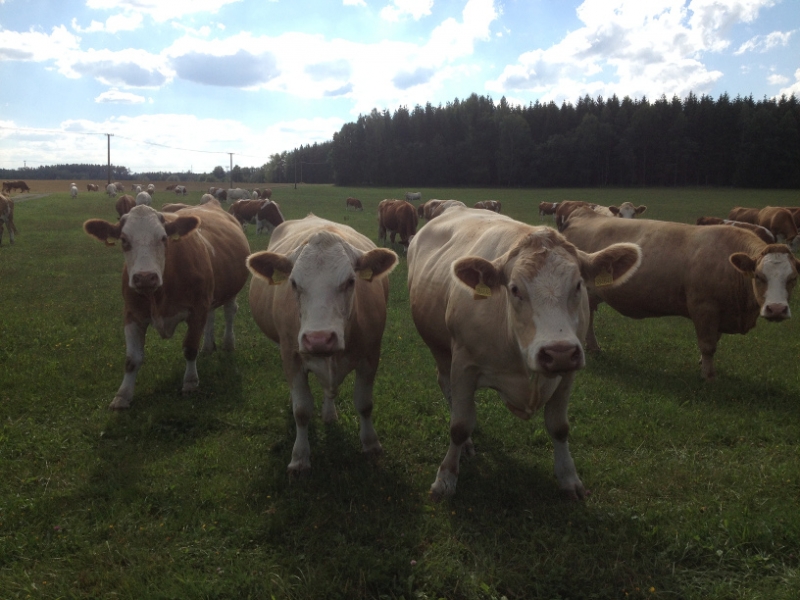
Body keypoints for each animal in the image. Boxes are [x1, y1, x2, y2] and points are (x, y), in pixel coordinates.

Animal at [83, 203, 251, 409]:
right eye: (124, 240)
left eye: (163, 238)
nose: (145, 277)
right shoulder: (132, 314)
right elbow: (132, 359)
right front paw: (123, 395)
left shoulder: (197, 310)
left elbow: (190, 348)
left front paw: (190, 382)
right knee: (211, 316)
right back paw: (208, 346)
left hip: (231, 290)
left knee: (229, 312)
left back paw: (228, 342)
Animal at [247, 215, 399, 473]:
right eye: (293, 283)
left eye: (350, 281)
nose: (319, 338)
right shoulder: (291, 356)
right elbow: (301, 410)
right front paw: (299, 456)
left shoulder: (371, 355)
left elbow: (364, 404)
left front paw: (370, 444)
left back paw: (329, 413)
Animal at [407, 205, 642, 500]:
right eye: (515, 289)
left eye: (578, 285)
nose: (559, 352)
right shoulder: (463, 365)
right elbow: (459, 426)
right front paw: (446, 478)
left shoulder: (567, 374)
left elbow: (559, 427)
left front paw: (569, 478)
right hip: (440, 349)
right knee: (447, 387)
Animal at [561, 207, 800, 380]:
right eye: (759, 276)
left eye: (793, 279)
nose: (776, 309)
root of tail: (584, 212)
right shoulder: (704, 307)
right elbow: (708, 344)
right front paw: (708, 375)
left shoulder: (719, 312)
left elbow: (714, 339)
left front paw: (702, 363)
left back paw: (593, 347)